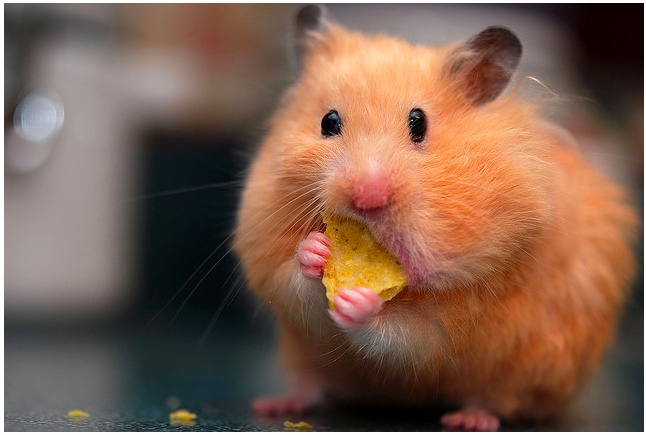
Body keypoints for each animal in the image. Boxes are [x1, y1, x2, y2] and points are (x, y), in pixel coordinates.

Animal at [233, 5, 637, 430]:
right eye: (328, 122)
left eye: (419, 123)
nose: (367, 197)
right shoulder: (266, 249)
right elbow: (291, 282)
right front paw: (314, 251)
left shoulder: (456, 315)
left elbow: (407, 333)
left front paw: (360, 302)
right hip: (303, 355)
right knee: (312, 382)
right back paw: (276, 404)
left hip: (527, 373)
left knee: (493, 398)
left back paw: (470, 420)